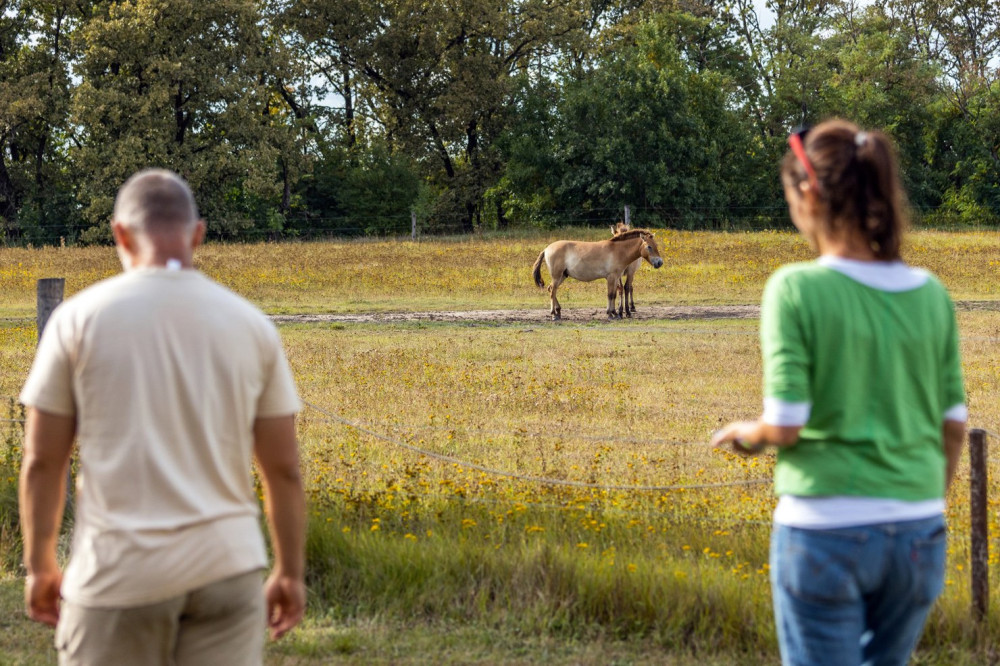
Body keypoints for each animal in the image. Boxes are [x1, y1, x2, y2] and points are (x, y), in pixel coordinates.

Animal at [532, 230, 664, 320]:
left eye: (656, 246)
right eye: (649, 246)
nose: (659, 263)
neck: (618, 250)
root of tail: (546, 249)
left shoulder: (616, 277)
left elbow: (615, 294)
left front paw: (615, 313)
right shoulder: (611, 277)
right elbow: (610, 295)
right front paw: (610, 314)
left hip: (562, 276)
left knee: (551, 289)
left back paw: (558, 312)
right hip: (557, 276)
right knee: (552, 291)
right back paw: (554, 314)